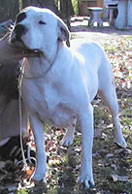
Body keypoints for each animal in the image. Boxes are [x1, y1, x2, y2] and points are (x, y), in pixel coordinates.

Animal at [9, 6, 126, 189]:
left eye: (41, 22)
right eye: (20, 17)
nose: (19, 27)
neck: (45, 70)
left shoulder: (86, 113)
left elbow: (86, 150)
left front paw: (85, 176)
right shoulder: (34, 117)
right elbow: (41, 149)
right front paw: (40, 173)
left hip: (108, 92)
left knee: (114, 115)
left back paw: (120, 139)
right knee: (72, 121)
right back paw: (68, 138)